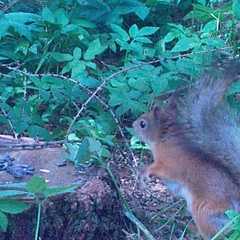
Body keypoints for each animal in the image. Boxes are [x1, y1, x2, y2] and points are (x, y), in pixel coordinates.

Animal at [132, 66, 240, 239]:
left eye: (143, 124)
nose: (133, 125)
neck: (166, 141)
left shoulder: (170, 163)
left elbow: (158, 168)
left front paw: (145, 172)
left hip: (203, 211)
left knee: (213, 234)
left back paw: (193, 230)